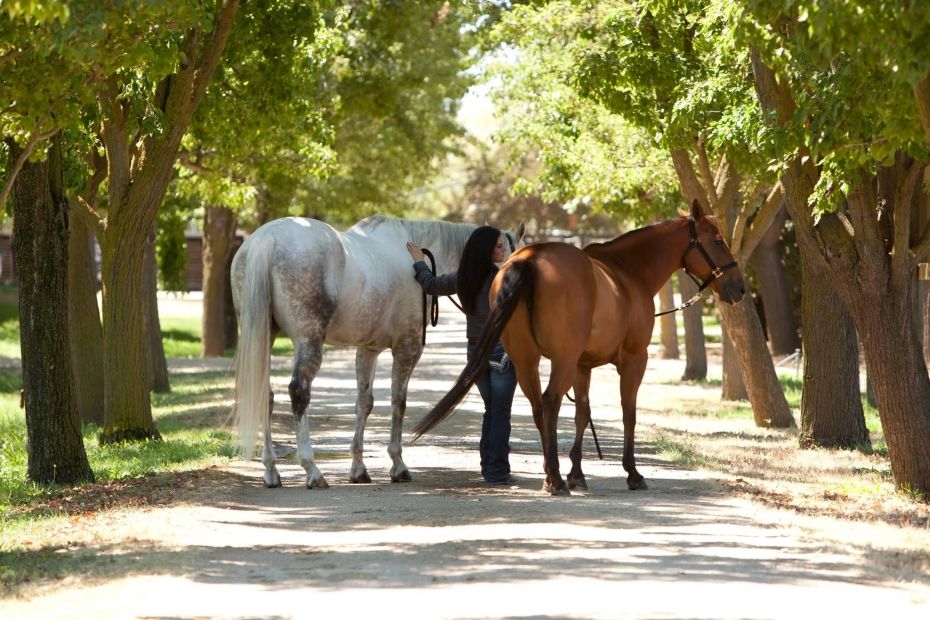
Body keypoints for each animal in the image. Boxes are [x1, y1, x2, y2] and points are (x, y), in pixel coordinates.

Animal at [230, 214, 524, 488]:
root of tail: (267, 240)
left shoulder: (367, 350)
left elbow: (364, 403)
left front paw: (358, 469)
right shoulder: (407, 348)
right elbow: (398, 402)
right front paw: (398, 465)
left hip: (264, 335)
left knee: (264, 395)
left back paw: (271, 470)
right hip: (309, 340)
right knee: (298, 392)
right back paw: (313, 471)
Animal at [411, 200, 746, 495]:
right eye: (717, 241)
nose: (740, 288)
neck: (627, 272)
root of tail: (529, 260)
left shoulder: (583, 366)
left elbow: (582, 413)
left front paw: (577, 474)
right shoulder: (634, 360)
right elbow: (628, 411)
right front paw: (632, 473)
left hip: (526, 359)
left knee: (538, 405)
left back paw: (553, 474)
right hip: (562, 359)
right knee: (550, 402)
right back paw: (554, 480)